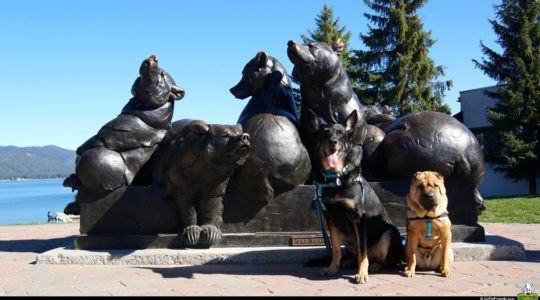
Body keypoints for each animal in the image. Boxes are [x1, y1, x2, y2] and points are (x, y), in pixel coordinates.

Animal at [306, 109, 402, 282]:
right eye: (324, 132)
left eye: (341, 133)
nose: (333, 142)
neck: (336, 178)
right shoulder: (330, 218)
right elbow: (335, 249)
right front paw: (332, 268)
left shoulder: (359, 218)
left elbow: (363, 252)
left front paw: (362, 273)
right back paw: (349, 262)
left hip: (389, 233)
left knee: (381, 259)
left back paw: (374, 266)